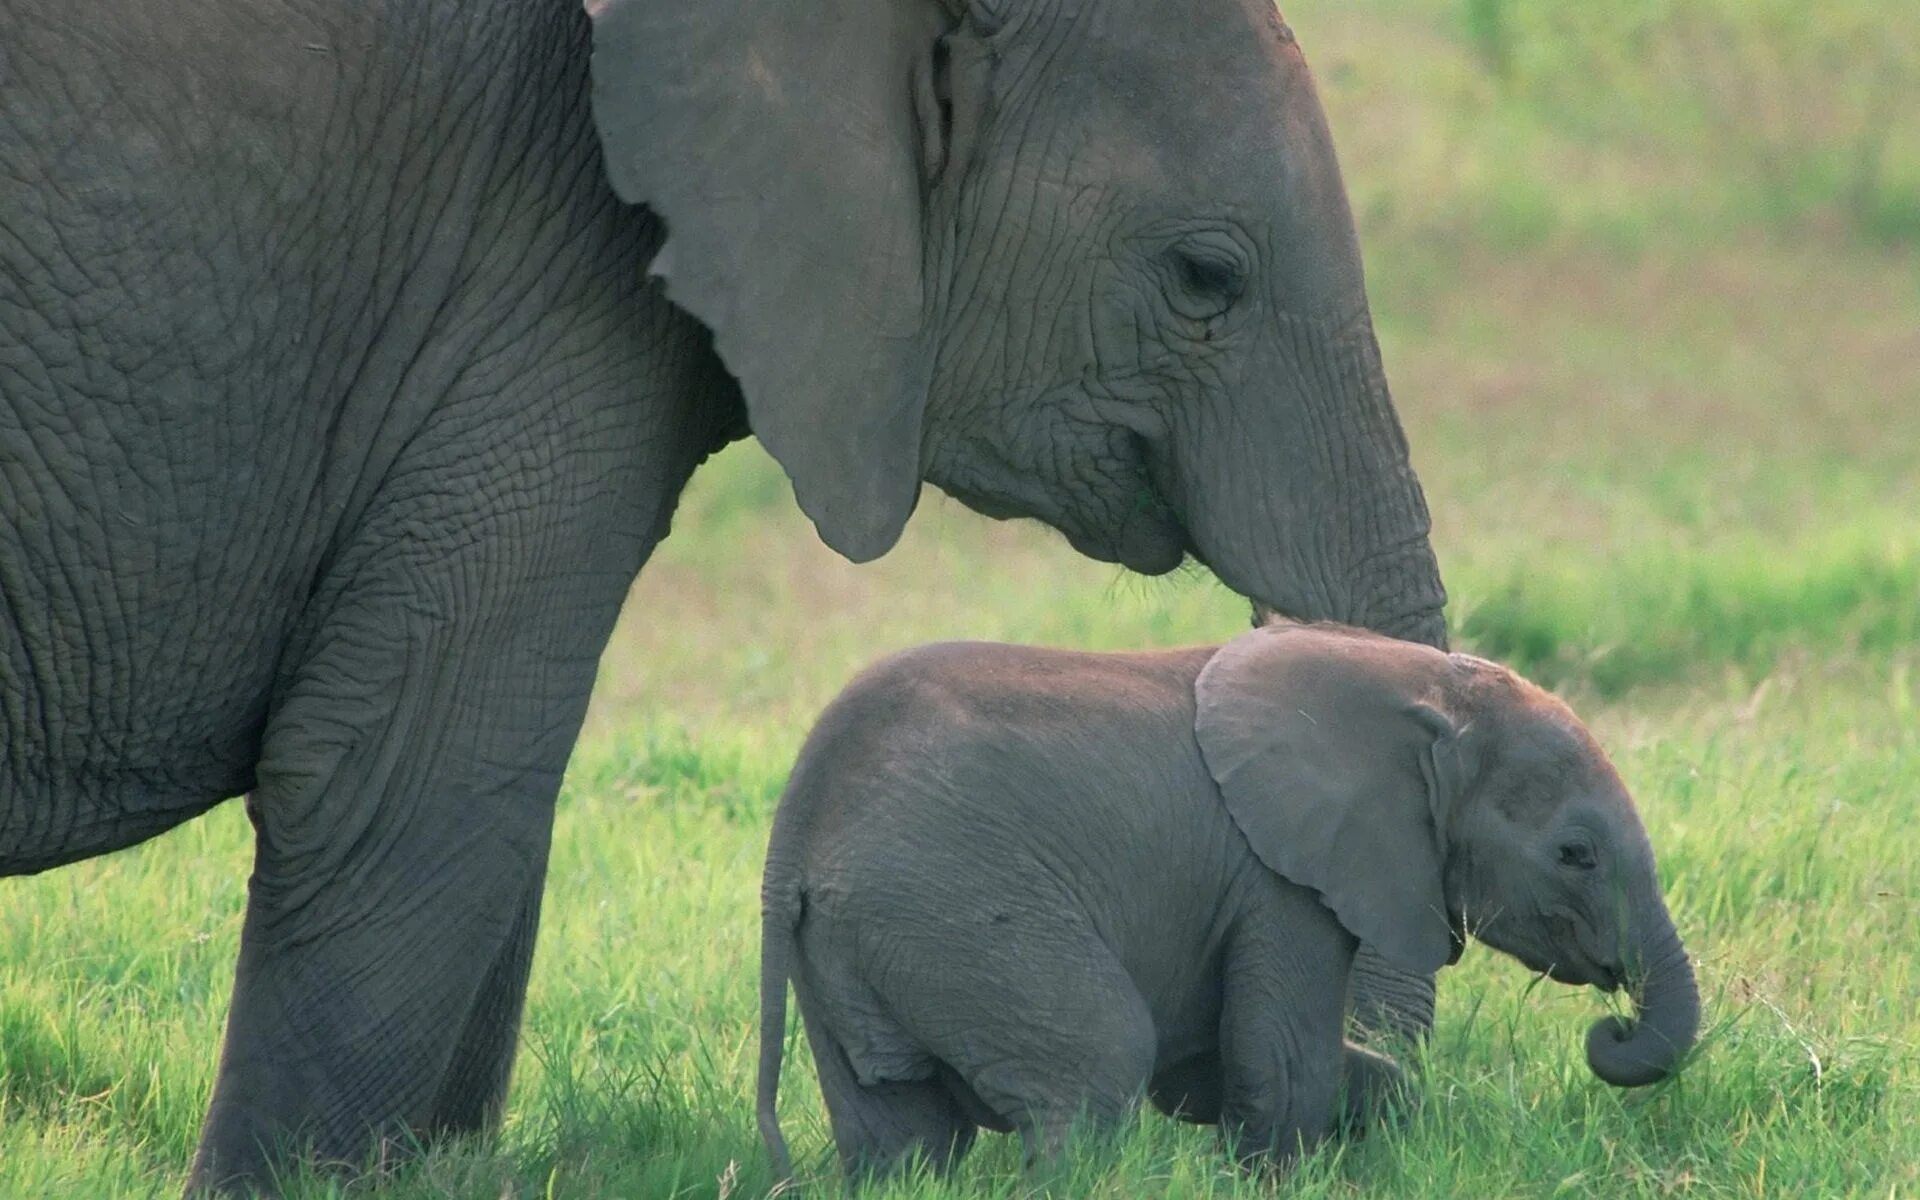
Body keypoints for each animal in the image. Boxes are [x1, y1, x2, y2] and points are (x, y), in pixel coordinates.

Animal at [748, 622, 1697, 1175]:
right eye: (1575, 855)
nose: (1612, 1025)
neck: (1424, 690)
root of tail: (797, 821)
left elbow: (1226, 1068)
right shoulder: (1280, 876)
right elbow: (1281, 1066)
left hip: (856, 941)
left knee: (898, 1135)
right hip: (952, 907)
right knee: (1094, 1072)